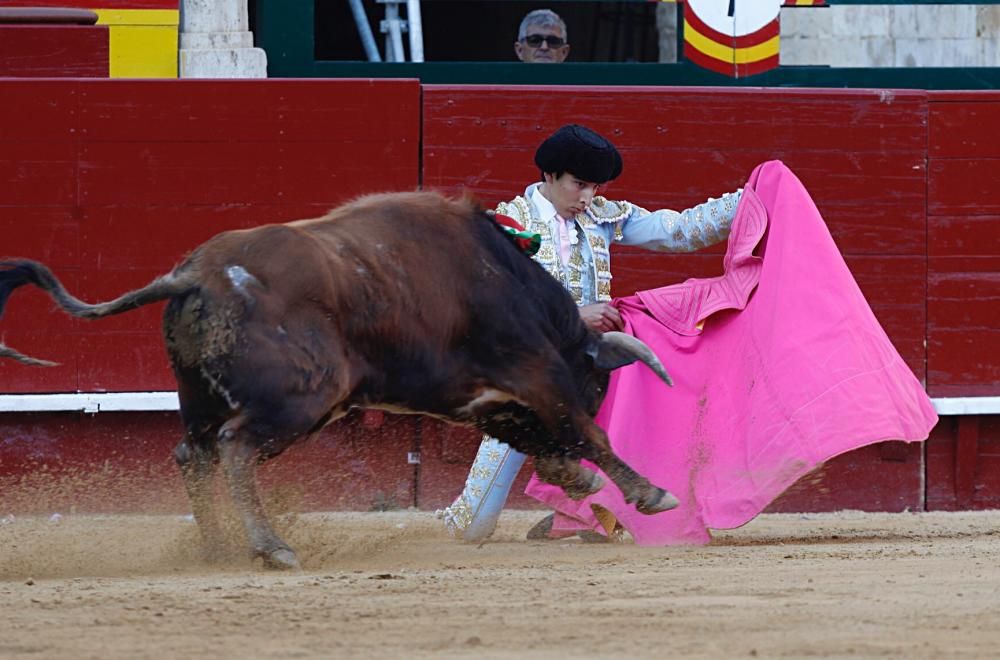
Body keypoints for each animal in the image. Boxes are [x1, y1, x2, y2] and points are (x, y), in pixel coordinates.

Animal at [0, 191, 680, 568]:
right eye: (598, 386)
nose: (562, 478)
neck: (513, 283)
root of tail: (195, 274)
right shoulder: (533, 372)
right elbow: (586, 429)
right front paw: (648, 492)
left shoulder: (481, 396)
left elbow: (537, 428)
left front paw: (578, 478)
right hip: (303, 398)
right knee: (235, 449)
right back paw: (270, 547)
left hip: (198, 398)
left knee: (193, 455)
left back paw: (217, 547)